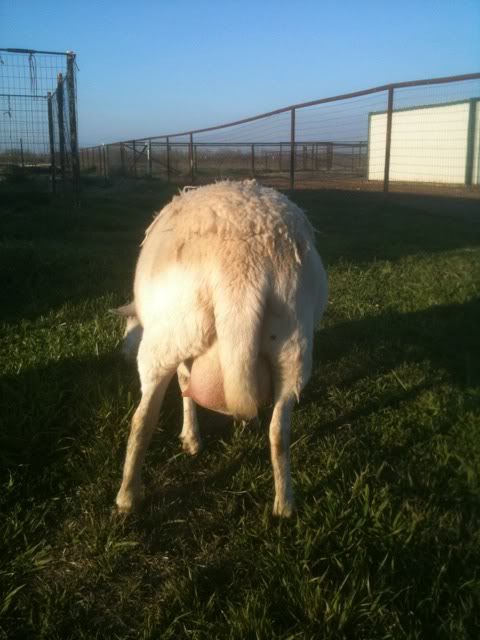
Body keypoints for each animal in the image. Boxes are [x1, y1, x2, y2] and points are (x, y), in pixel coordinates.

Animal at [114, 180, 328, 517]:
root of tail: (241, 266)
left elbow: (184, 385)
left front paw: (190, 438)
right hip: (292, 344)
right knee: (279, 431)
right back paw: (284, 505)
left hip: (166, 339)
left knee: (142, 420)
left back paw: (126, 498)